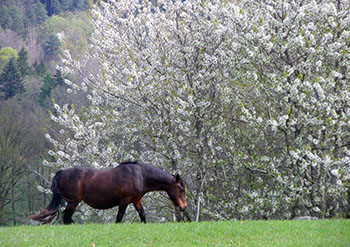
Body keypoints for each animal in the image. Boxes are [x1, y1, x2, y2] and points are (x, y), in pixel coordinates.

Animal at [29, 161, 187, 225]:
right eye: (181, 189)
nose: (184, 207)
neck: (140, 175)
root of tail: (63, 173)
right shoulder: (124, 201)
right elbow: (119, 217)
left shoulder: (136, 201)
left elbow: (143, 216)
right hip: (73, 202)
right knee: (67, 217)